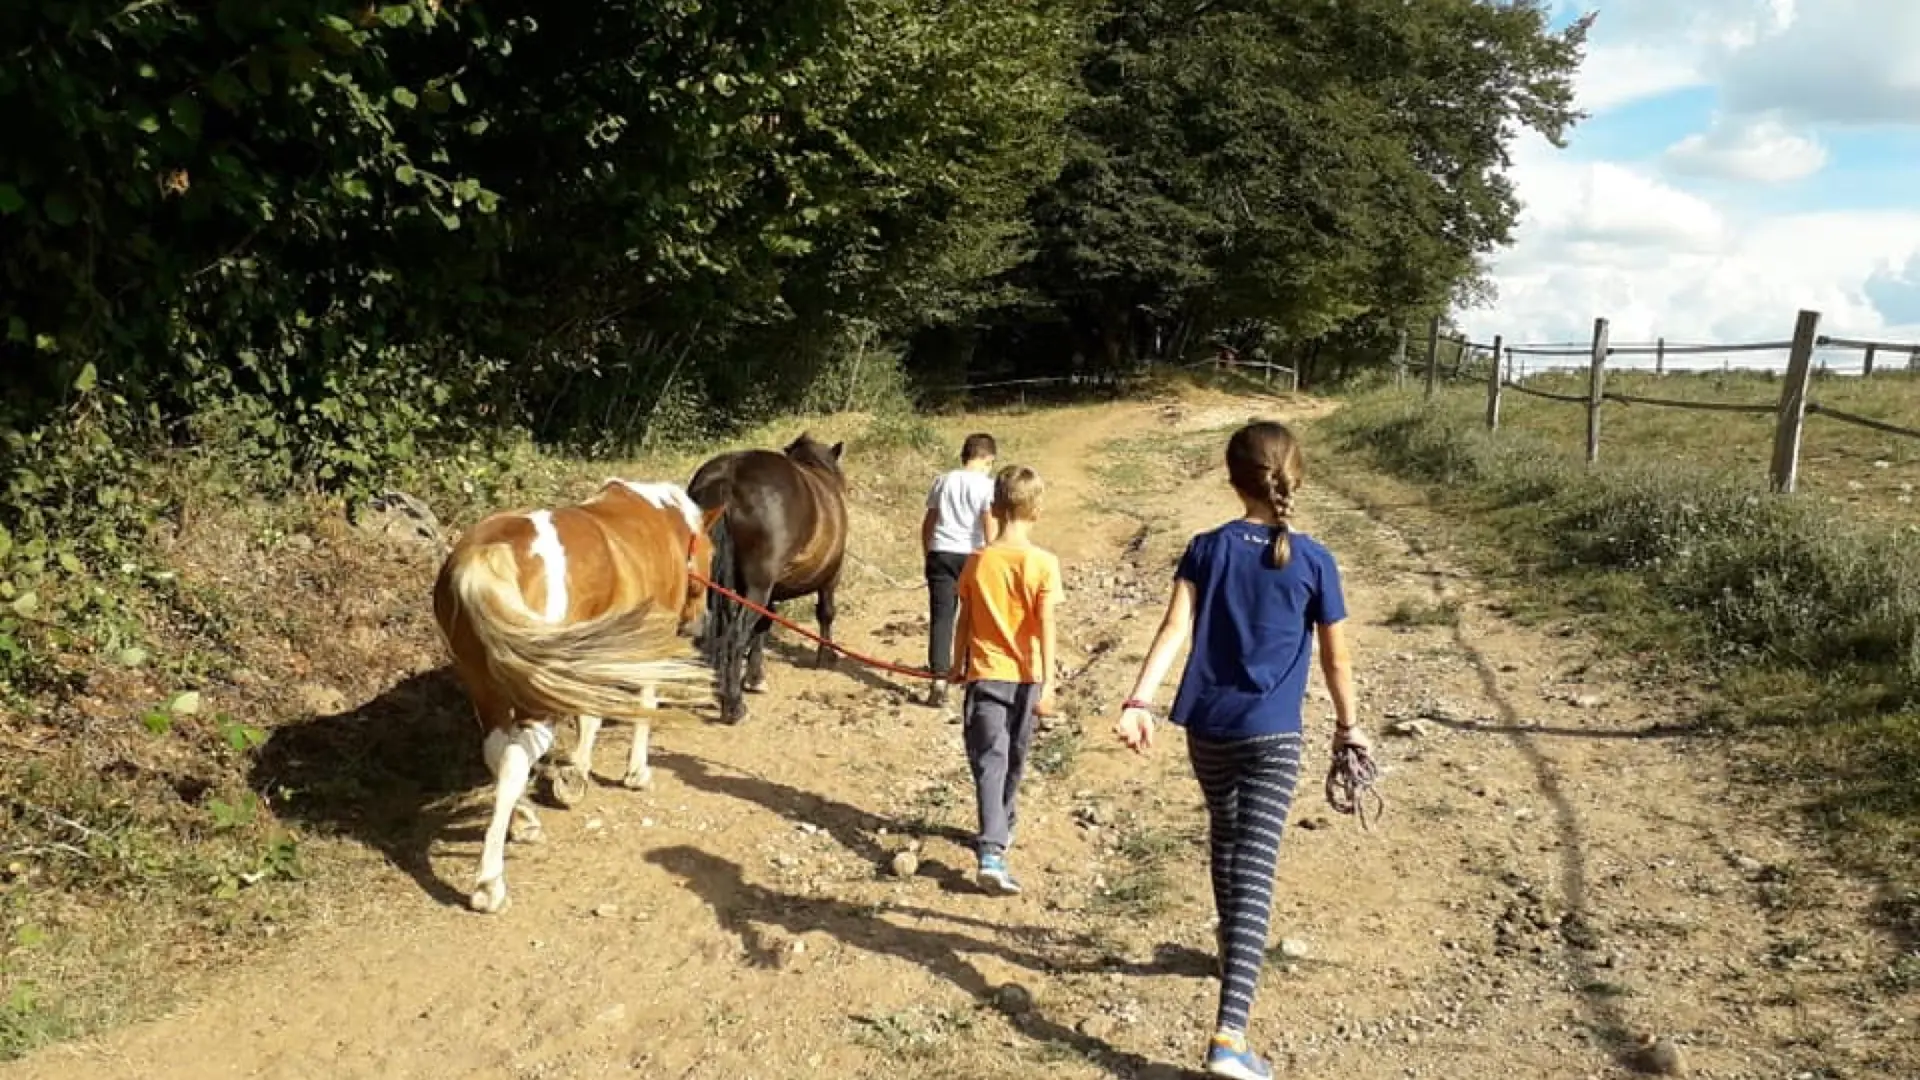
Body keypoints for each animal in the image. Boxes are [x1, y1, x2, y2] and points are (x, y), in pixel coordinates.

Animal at [432, 478, 721, 907]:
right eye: (712, 553)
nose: (702, 623)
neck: (659, 520)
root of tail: (485, 555)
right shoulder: (644, 650)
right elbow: (641, 707)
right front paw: (633, 773)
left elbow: (590, 715)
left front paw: (574, 774)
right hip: (536, 696)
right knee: (515, 760)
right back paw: (490, 883)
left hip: (489, 688)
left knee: (498, 753)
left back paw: (525, 821)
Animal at [687, 430, 844, 722]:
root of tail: (728, 477)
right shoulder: (831, 577)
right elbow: (826, 613)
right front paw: (826, 655)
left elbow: (763, 625)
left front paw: (754, 677)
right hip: (758, 587)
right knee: (735, 635)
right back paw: (733, 706)